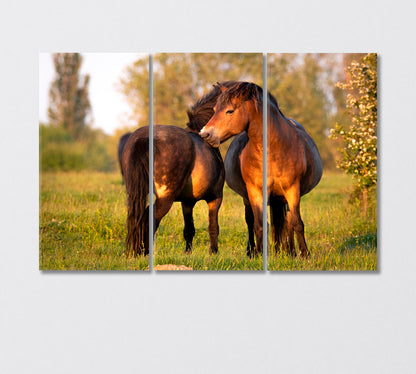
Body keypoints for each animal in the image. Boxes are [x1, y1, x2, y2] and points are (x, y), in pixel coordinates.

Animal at [121, 83, 237, 256]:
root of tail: (145, 139)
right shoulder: (215, 197)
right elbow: (213, 227)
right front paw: (213, 253)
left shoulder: (187, 202)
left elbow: (189, 229)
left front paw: (187, 253)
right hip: (165, 198)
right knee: (150, 219)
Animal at [200, 81, 324, 258]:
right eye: (215, 109)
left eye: (230, 110)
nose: (205, 134)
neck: (275, 150)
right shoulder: (255, 191)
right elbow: (259, 224)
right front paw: (258, 253)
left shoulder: (293, 189)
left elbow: (297, 223)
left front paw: (304, 254)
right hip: (250, 198)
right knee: (251, 220)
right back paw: (253, 250)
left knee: (288, 222)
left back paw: (290, 252)